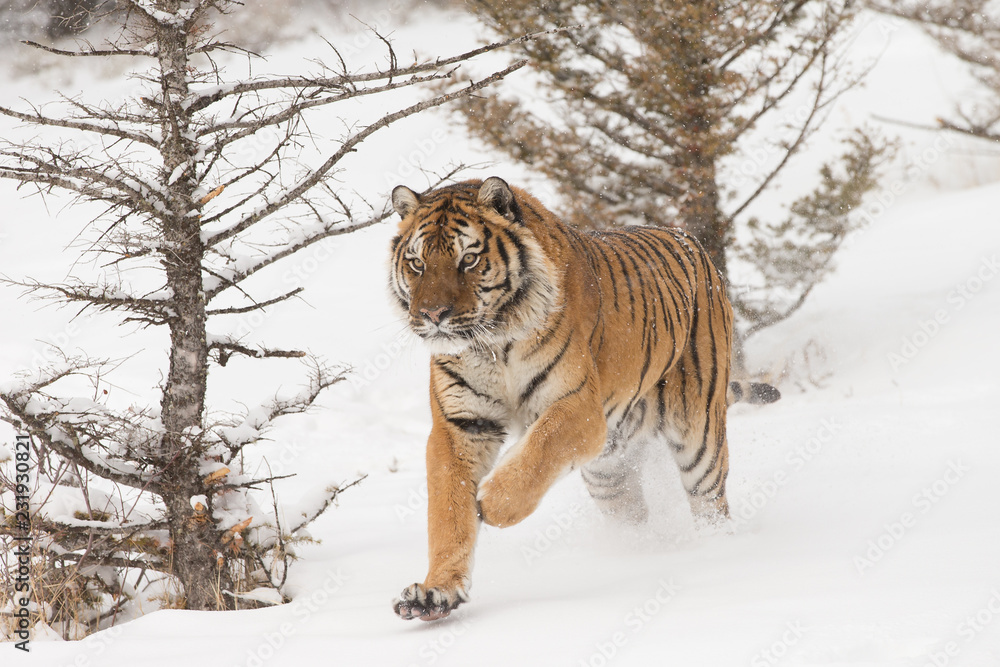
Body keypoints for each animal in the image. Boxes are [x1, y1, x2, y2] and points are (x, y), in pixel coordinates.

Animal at [388, 177, 779, 621]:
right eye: (417, 263)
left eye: (468, 259)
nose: (433, 315)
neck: (492, 343)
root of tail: (691, 240)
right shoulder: (460, 425)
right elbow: (448, 513)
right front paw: (435, 592)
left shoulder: (580, 408)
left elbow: (539, 448)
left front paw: (491, 502)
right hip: (608, 474)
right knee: (631, 518)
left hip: (700, 435)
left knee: (711, 504)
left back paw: (716, 554)